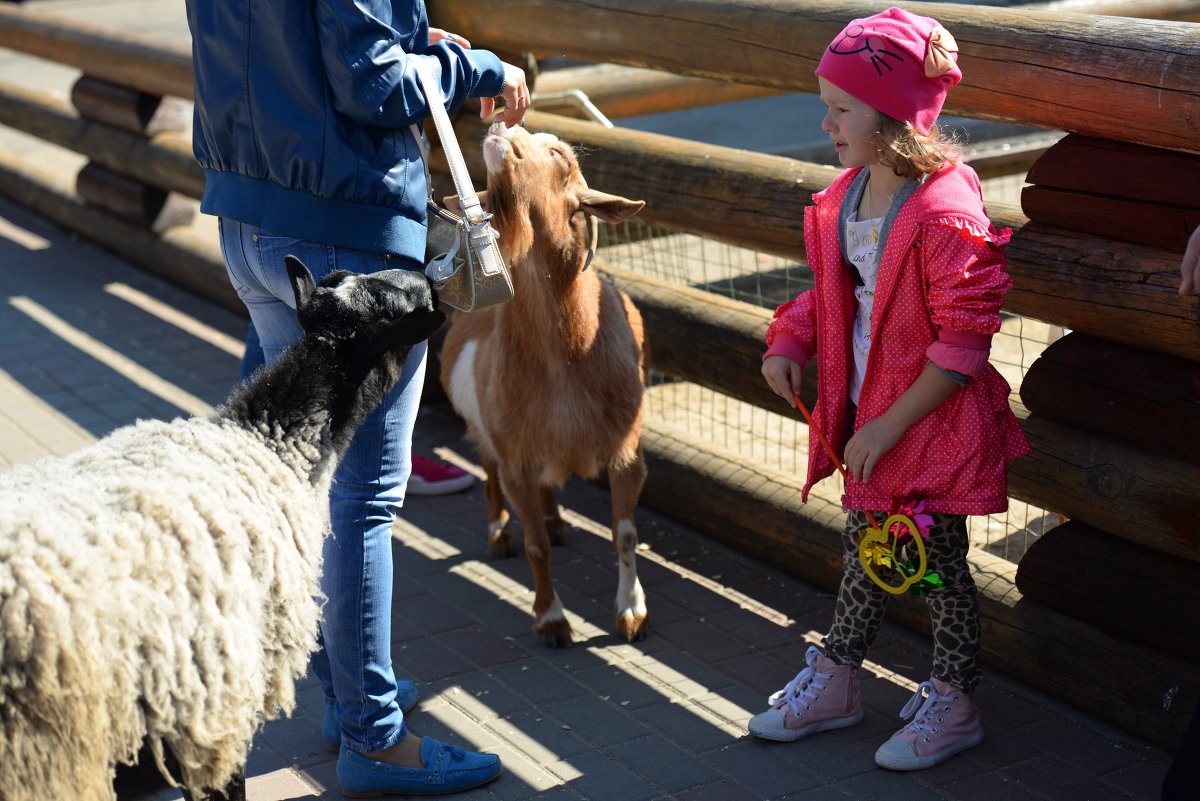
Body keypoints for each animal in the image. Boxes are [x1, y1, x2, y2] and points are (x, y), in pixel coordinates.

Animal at [441, 125, 648, 647]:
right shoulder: (515, 457)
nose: (501, 127)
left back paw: (555, 519)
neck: (566, 361)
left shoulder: (627, 450)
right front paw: (551, 619)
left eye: (558, 154)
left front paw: (631, 611)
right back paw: (499, 531)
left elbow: (625, 534)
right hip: (488, 430)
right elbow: (535, 547)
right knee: (489, 469)